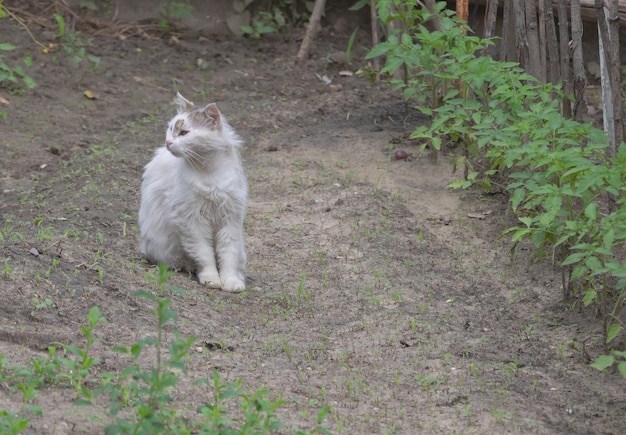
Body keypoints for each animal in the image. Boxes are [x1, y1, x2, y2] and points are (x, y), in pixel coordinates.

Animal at [138, 92, 247, 292]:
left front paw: (231, 281)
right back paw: (190, 266)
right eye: (171, 129)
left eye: (184, 133)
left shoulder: (230, 218)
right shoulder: (191, 220)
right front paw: (211, 278)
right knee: (179, 260)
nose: (168, 142)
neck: (209, 171)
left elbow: (228, 255)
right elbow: (204, 254)